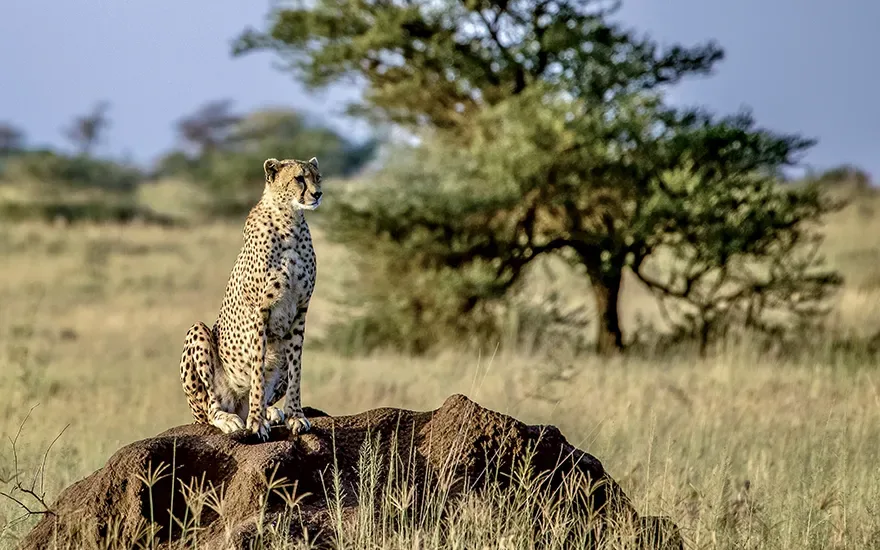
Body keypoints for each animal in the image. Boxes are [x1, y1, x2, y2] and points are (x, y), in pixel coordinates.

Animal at [178, 156, 322, 441]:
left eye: (317, 177)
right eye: (299, 178)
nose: (317, 194)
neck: (289, 220)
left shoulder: (300, 310)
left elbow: (296, 368)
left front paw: (295, 416)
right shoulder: (259, 310)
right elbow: (256, 369)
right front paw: (256, 423)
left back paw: (272, 412)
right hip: (198, 334)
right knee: (210, 408)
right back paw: (232, 419)